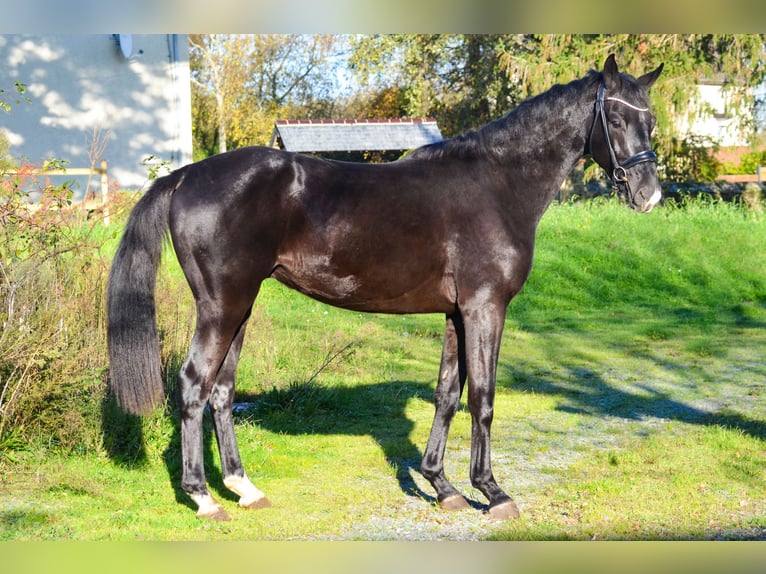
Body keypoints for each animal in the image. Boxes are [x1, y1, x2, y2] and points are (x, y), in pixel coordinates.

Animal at [107, 54, 664, 522]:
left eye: (651, 121)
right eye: (615, 121)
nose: (649, 196)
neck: (498, 184)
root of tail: (185, 176)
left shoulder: (457, 313)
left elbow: (447, 394)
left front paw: (444, 487)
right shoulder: (486, 308)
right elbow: (482, 398)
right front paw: (493, 492)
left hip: (240, 307)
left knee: (221, 392)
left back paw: (244, 488)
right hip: (223, 306)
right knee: (193, 385)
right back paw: (203, 498)